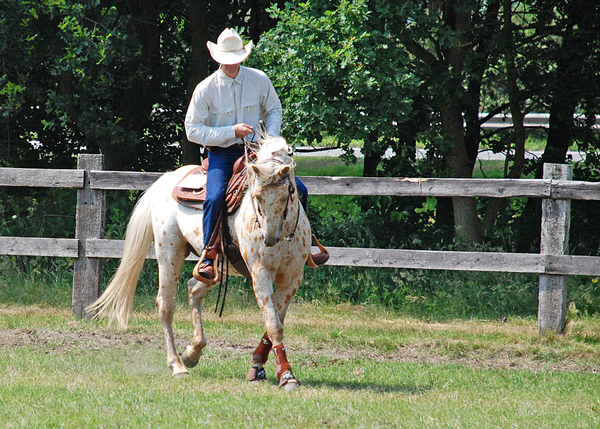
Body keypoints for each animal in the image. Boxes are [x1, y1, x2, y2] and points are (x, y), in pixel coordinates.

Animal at [86, 136, 312, 388]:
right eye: (256, 196)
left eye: (287, 193)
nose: (269, 238)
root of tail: (167, 179)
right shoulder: (260, 273)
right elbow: (274, 326)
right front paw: (286, 374)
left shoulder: (292, 279)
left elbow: (275, 323)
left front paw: (258, 366)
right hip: (169, 254)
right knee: (166, 304)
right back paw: (177, 365)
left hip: (215, 268)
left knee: (193, 289)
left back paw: (192, 352)